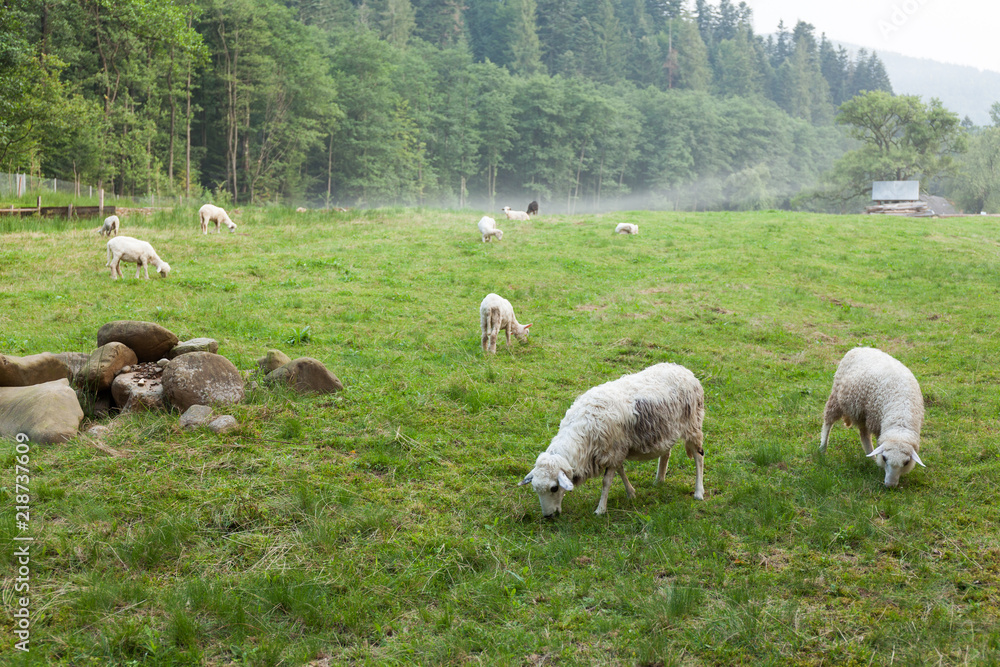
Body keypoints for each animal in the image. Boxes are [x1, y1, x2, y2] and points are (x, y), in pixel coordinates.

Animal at [520, 362, 705, 517]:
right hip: (666, 429)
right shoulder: (615, 451)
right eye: (536, 489)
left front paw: (601, 510)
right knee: (666, 453)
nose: (548, 516)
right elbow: (621, 471)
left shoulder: (614, 450)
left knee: (699, 457)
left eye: (554, 488)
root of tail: (684, 370)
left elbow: (606, 482)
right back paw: (659, 481)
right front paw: (631, 493)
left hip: (693, 425)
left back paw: (698, 492)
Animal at [820, 347, 925, 488]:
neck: (900, 420)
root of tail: (860, 348)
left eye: (906, 462)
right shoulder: (876, 423)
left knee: (864, 434)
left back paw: (870, 456)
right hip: (837, 396)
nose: (890, 485)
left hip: (862, 412)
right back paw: (822, 448)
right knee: (828, 421)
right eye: (885, 458)